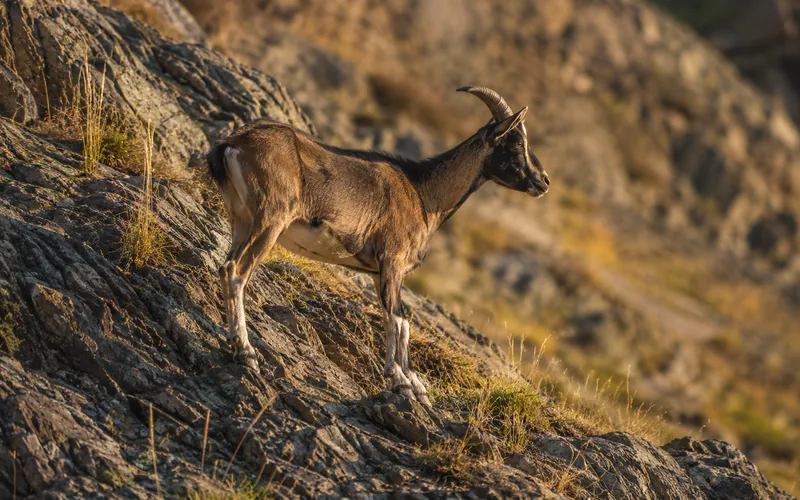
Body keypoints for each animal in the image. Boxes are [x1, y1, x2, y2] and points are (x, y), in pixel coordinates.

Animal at [207, 86, 549, 406]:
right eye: (516, 142)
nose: (543, 181)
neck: (423, 194)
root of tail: (233, 143)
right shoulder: (392, 262)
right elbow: (399, 318)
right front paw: (402, 381)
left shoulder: (376, 271)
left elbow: (397, 318)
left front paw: (414, 385)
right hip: (271, 219)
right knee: (237, 270)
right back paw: (245, 351)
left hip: (241, 220)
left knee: (227, 265)